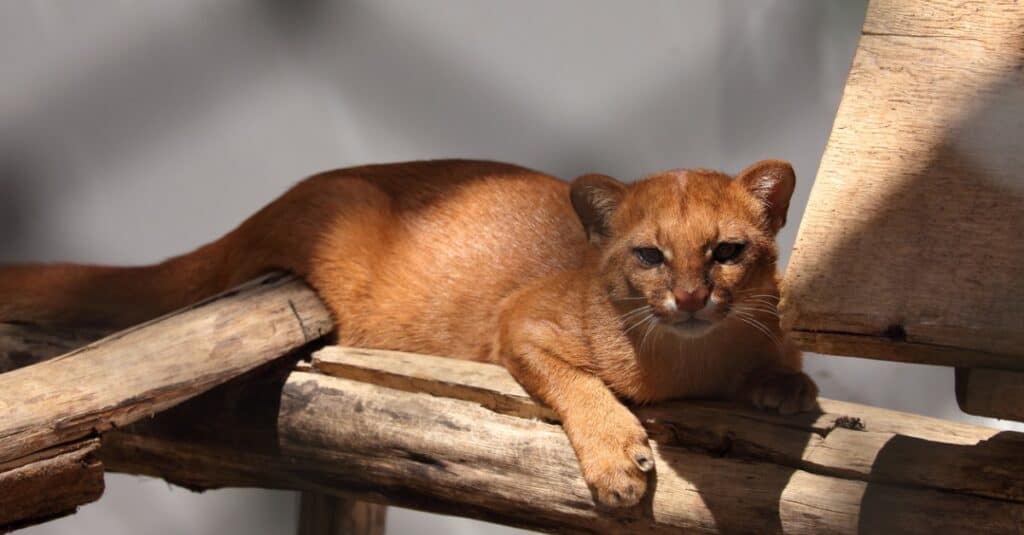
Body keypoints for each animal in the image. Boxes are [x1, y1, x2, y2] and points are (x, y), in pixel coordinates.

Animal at [0, 156, 815, 504]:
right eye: (649, 254)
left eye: (727, 251)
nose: (690, 297)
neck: (691, 364)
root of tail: (280, 199)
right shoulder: (522, 318)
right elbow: (578, 383)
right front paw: (618, 459)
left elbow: (787, 356)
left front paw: (788, 389)